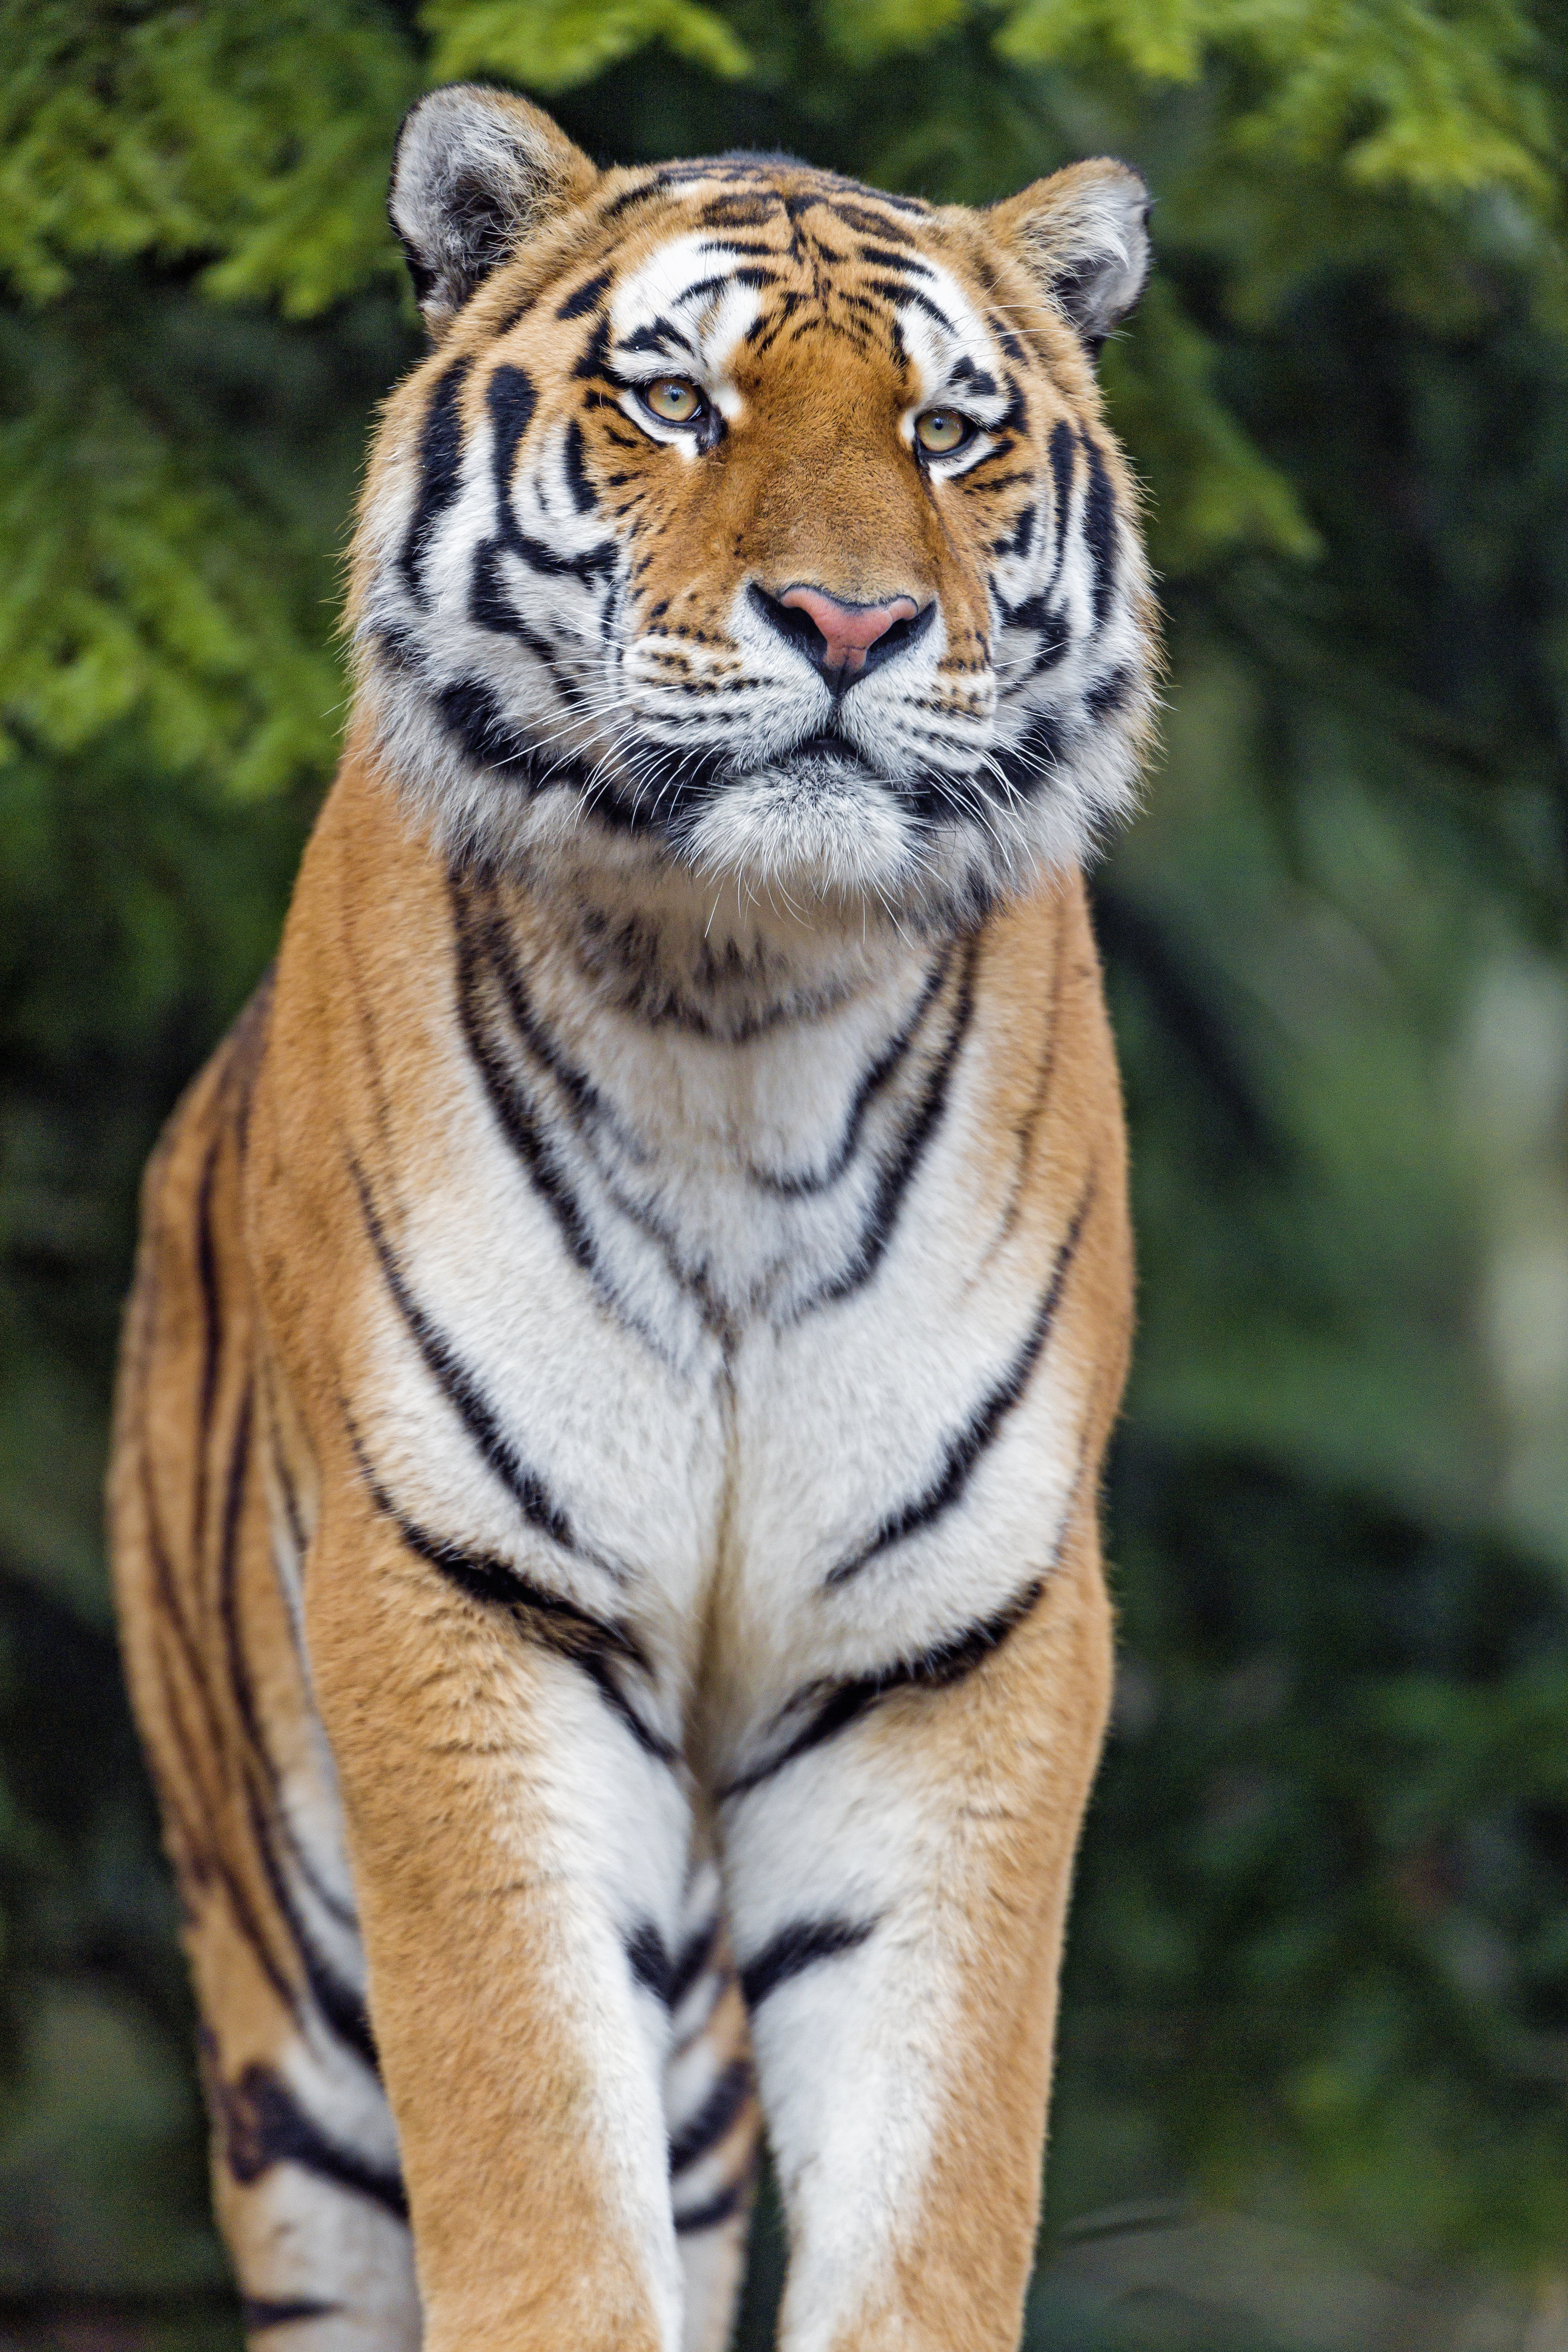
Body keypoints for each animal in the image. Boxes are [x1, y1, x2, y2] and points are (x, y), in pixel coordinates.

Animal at [110, 74, 1161, 2352]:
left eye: (950, 427)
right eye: (677, 398)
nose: (848, 623)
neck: (739, 998)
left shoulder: (956, 1642)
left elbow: (936, 2179)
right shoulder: (457, 1587)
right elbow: (527, 2152)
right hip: (287, 2008)